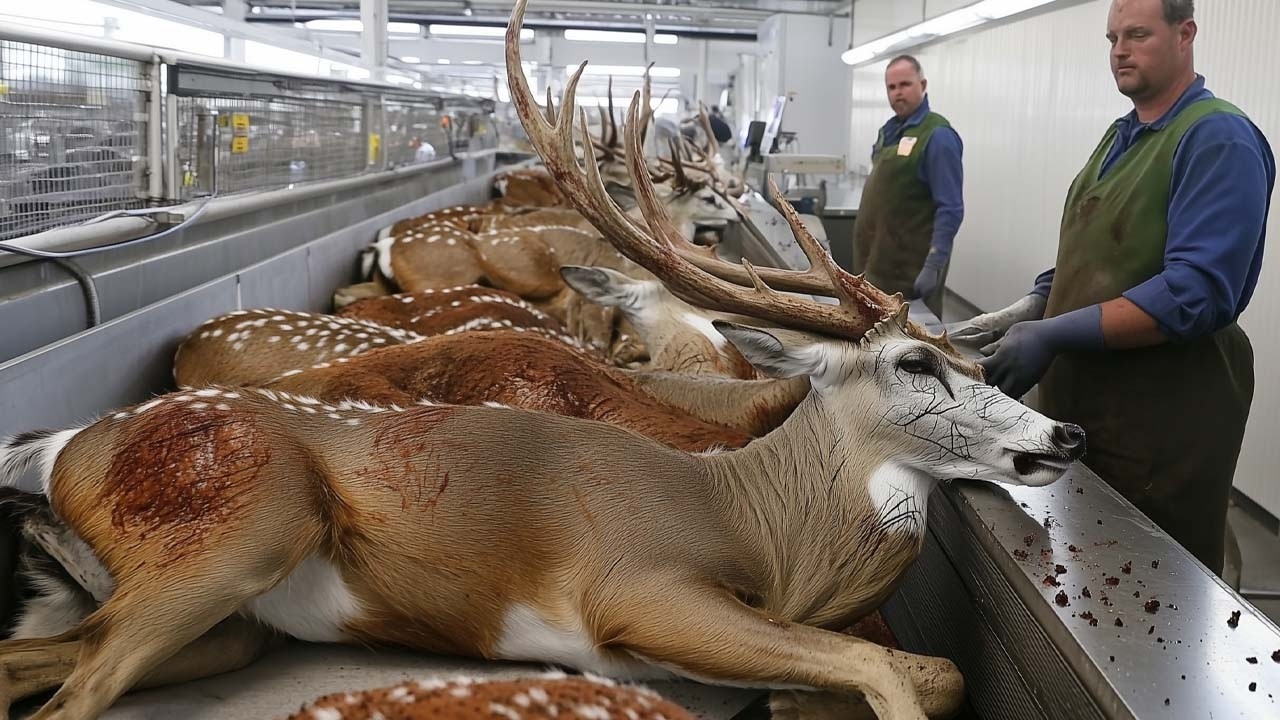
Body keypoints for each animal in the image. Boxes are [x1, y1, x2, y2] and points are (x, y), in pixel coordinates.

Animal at [0, 13, 1085, 716]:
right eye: (913, 363)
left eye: (973, 358)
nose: (1063, 432)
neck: (763, 529)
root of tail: (56, 451)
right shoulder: (638, 584)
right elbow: (894, 671)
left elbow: (932, 669)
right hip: (235, 534)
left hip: (223, 618)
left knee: (39, 663)